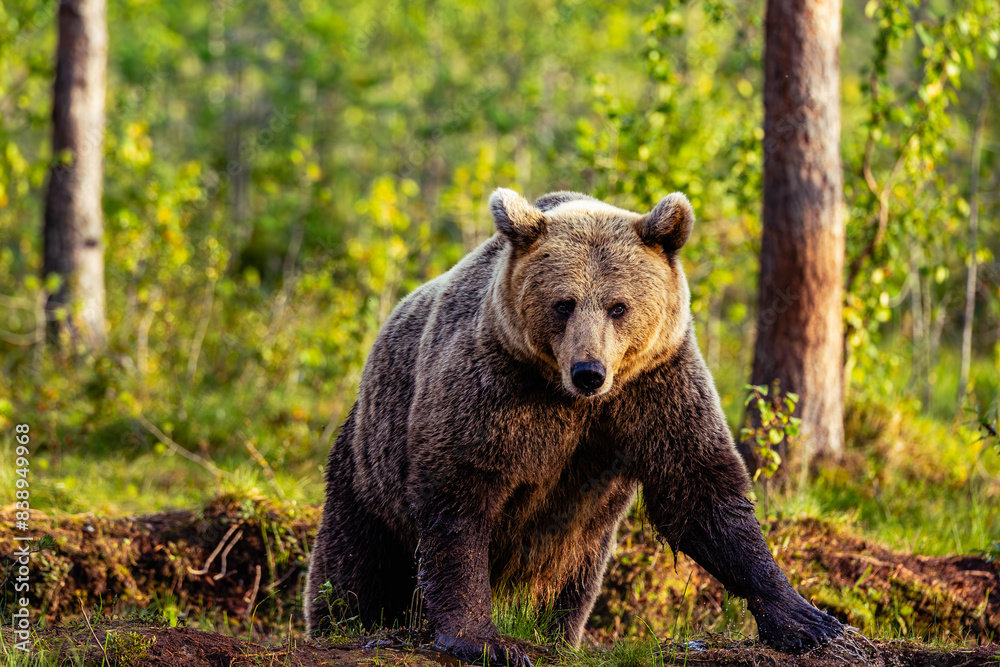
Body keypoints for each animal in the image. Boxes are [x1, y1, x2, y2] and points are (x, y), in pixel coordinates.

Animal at [304, 188, 844, 665]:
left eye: (618, 306)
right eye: (563, 303)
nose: (589, 371)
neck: (571, 398)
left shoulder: (654, 387)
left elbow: (699, 488)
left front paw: (808, 619)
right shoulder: (492, 385)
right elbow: (459, 496)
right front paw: (484, 639)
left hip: (580, 542)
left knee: (569, 583)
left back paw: (558, 633)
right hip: (366, 470)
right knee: (353, 566)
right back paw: (347, 620)